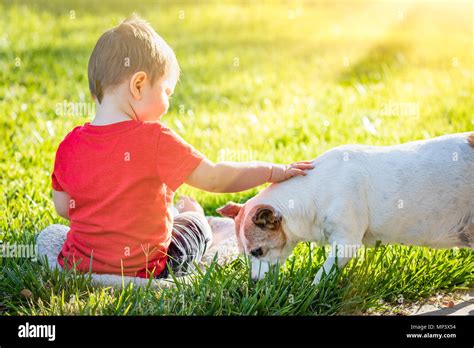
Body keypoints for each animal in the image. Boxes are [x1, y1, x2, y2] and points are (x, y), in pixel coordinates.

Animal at [217, 132, 472, 284]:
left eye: (258, 252)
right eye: (245, 255)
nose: (253, 282)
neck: (313, 192)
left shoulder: (346, 244)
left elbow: (321, 275)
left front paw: (311, 292)